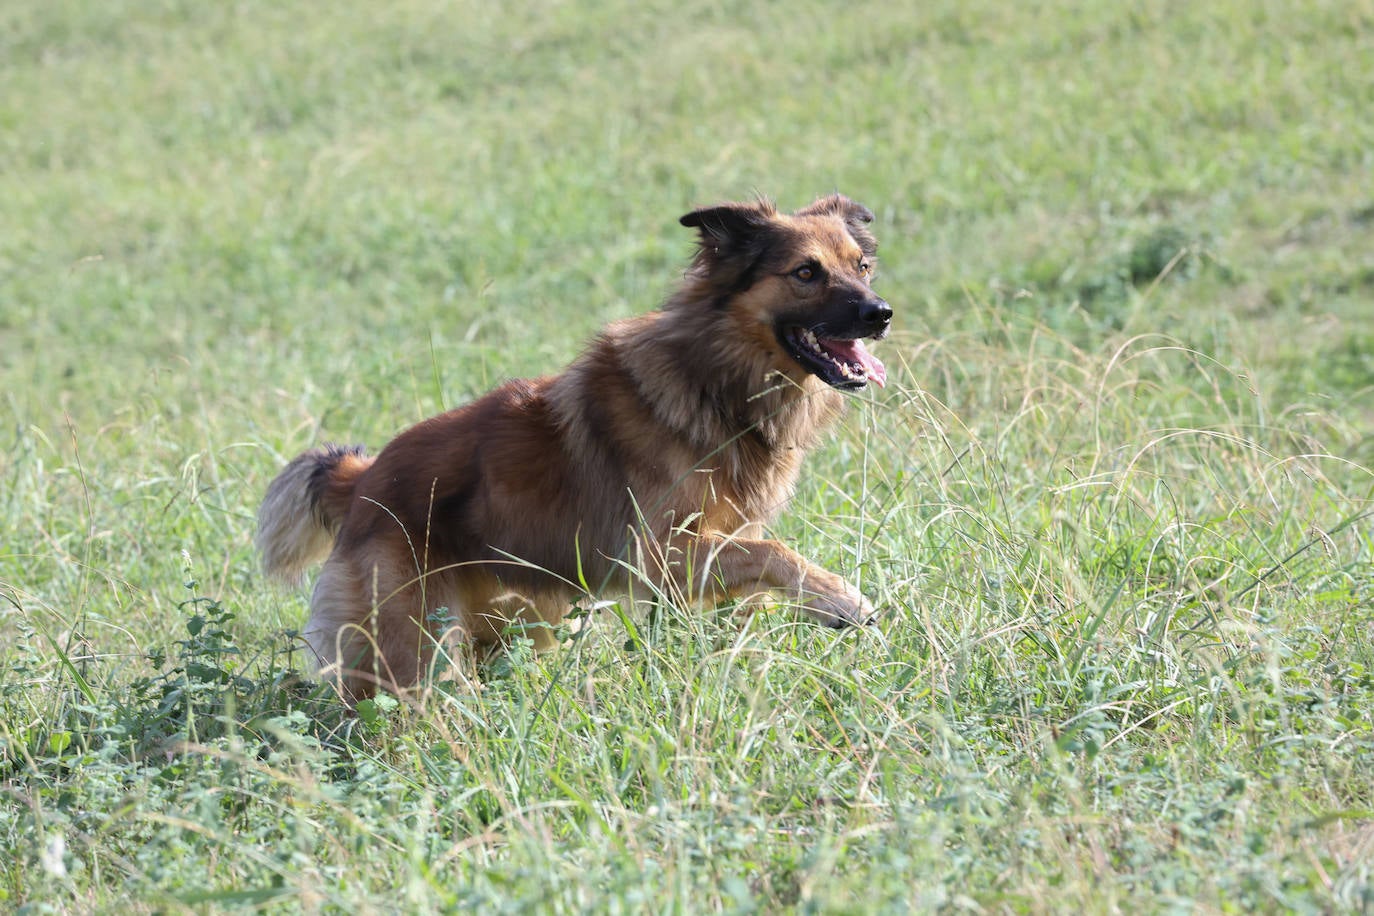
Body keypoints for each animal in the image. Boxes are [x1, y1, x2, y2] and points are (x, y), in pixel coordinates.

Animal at [259, 192, 890, 694]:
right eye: (805, 273)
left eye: (862, 266)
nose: (881, 313)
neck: (715, 380)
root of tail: (361, 481)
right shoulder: (659, 553)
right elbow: (778, 552)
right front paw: (844, 601)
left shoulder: (719, 544)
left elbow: (759, 576)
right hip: (411, 641)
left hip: (514, 617)